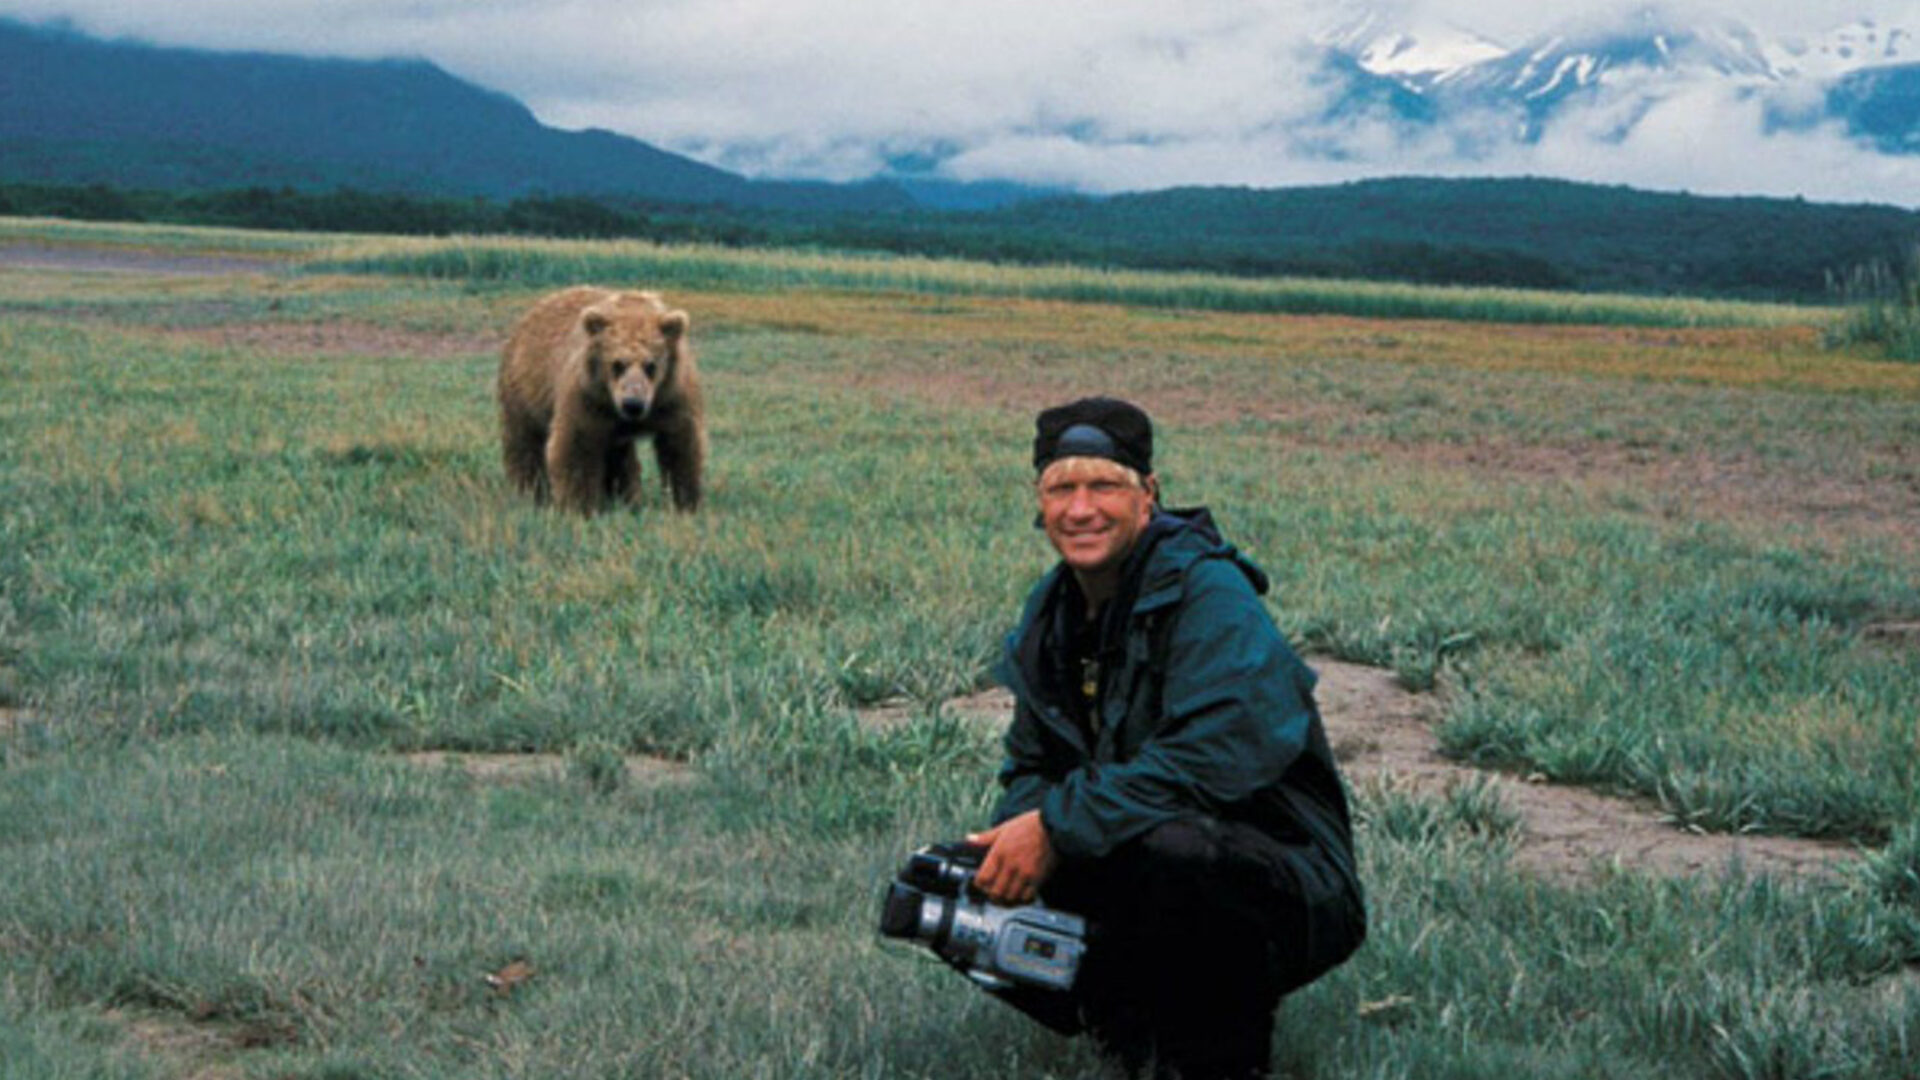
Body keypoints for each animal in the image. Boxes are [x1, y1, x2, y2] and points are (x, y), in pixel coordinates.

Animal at [497, 286, 706, 515]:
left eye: (651, 365)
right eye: (617, 364)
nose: (633, 404)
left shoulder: (672, 397)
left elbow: (681, 445)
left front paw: (685, 502)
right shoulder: (588, 397)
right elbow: (576, 446)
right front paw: (579, 506)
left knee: (619, 458)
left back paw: (624, 497)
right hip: (524, 392)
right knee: (525, 443)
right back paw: (530, 491)